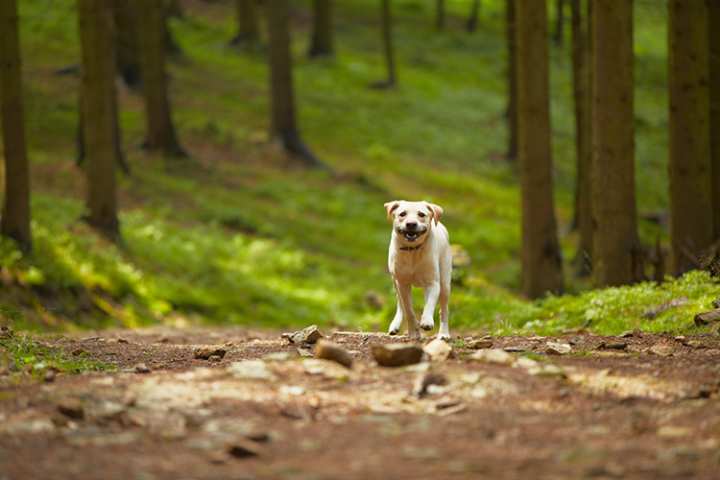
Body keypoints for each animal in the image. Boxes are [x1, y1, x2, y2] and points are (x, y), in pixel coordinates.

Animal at [386, 201, 452, 340]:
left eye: (421, 214)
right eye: (402, 214)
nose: (411, 224)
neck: (412, 251)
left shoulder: (433, 283)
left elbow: (430, 304)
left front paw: (426, 321)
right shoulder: (402, 283)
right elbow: (408, 309)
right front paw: (413, 332)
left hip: (445, 283)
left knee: (443, 310)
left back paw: (443, 333)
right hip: (394, 281)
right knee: (400, 304)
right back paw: (395, 325)